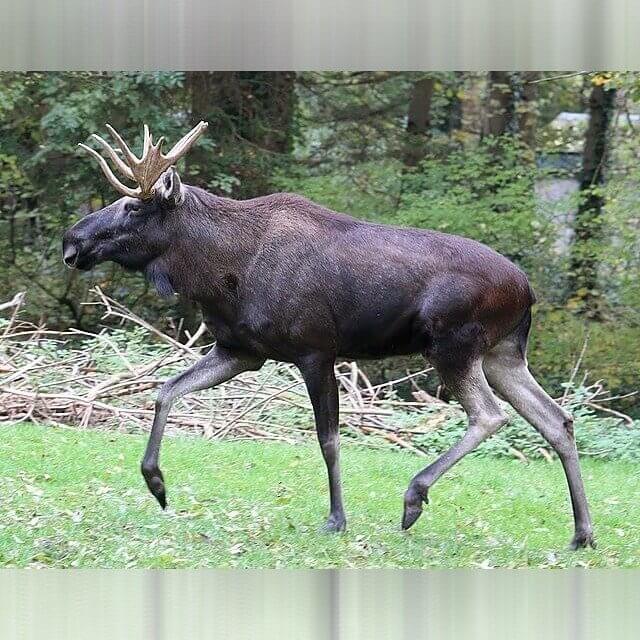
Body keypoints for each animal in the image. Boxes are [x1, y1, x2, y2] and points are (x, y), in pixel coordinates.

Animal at [62, 122, 595, 550]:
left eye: (133, 207)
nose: (72, 240)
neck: (217, 273)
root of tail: (528, 291)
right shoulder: (241, 350)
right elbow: (165, 390)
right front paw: (156, 484)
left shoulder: (315, 349)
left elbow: (329, 438)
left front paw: (337, 518)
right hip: (503, 354)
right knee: (557, 420)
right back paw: (582, 533)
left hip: (452, 344)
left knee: (490, 415)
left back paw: (414, 497)